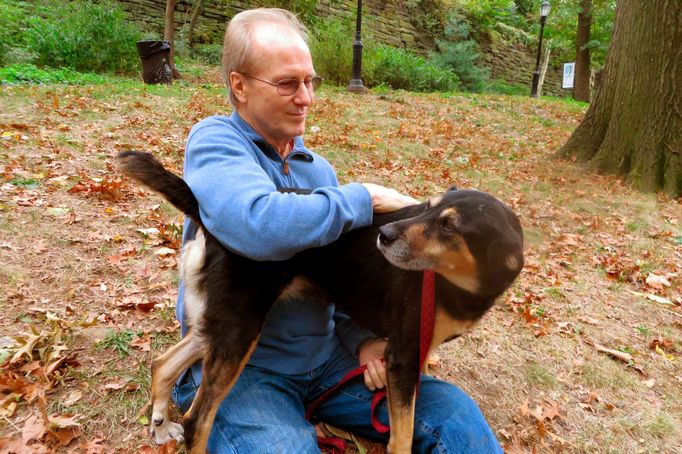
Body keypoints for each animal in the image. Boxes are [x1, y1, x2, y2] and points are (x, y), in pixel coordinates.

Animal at [117, 152, 524, 454]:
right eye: (429, 208)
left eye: (448, 225)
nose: (384, 235)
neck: (456, 284)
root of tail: (207, 215)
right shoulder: (404, 354)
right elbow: (402, 438)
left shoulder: (413, 355)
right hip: (239, 329)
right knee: (197, 419)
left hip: (222, 323)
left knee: (163, 364)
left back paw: (159, 424)